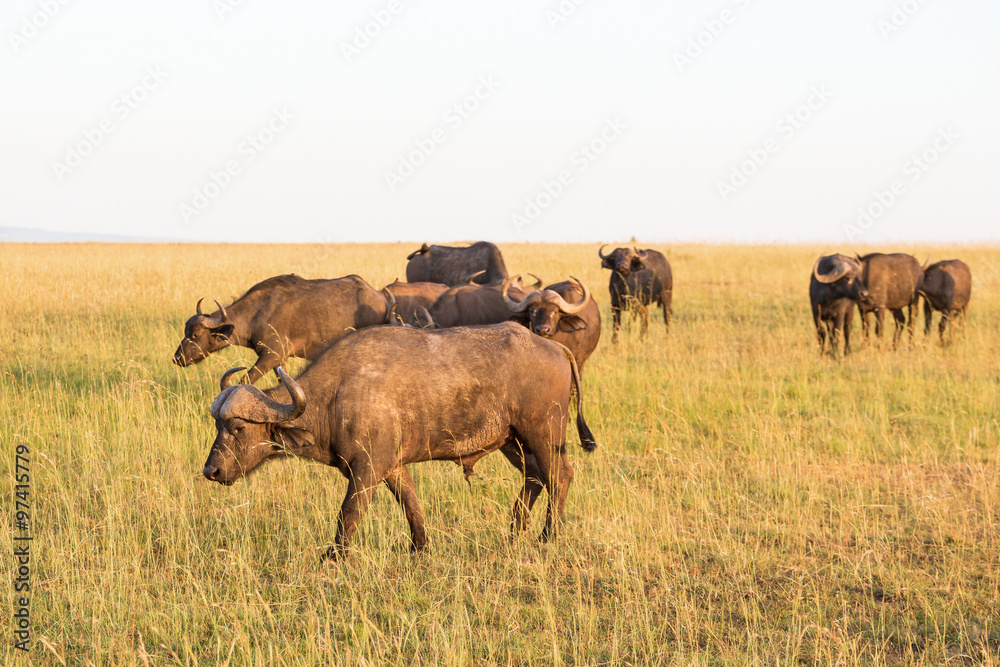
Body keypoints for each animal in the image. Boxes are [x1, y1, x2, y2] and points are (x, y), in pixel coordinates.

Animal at [174, 274, 384, 384]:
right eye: (185, 332)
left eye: (196, 334)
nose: (177, 358)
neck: (256, 313)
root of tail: (379, 296)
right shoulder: (279, 361)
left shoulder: (270, 356)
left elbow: (244, 381)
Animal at [199, 324, 596, 560]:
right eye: (217, 425)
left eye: (238, 428)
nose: (211, 471)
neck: (335, 395)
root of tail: (555, 347)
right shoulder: (391, 467)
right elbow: (411, 504)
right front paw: (420, 548)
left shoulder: (366, 470)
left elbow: (348, 514)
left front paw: (334, 555)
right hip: (512, 440)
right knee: (534, 477)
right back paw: (513, 534)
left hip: (542, 434)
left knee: (559, 476)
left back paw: (547, 538)